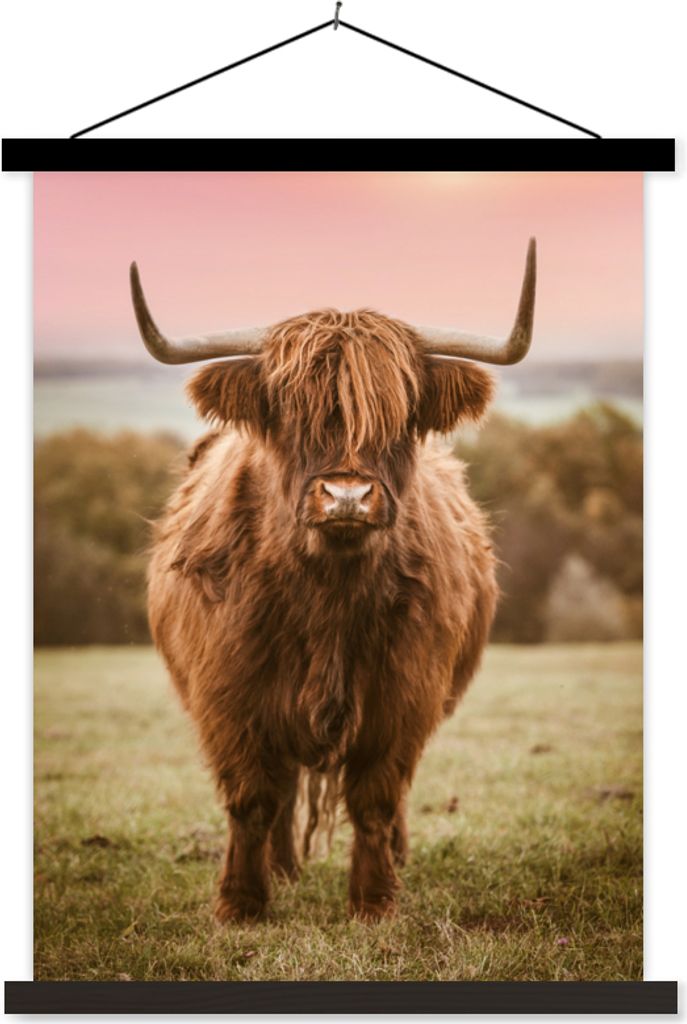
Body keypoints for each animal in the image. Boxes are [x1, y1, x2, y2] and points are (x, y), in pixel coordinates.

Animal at [130, 240, 536, 923]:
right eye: (288, 413)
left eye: (400, 416)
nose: (347, 495)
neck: (327, 595)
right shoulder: (230, 694)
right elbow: (252, 799)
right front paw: (242, 903)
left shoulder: (405, 694)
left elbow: (376, 798)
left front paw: (375, 901)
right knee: (284, 787)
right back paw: (282, 869)